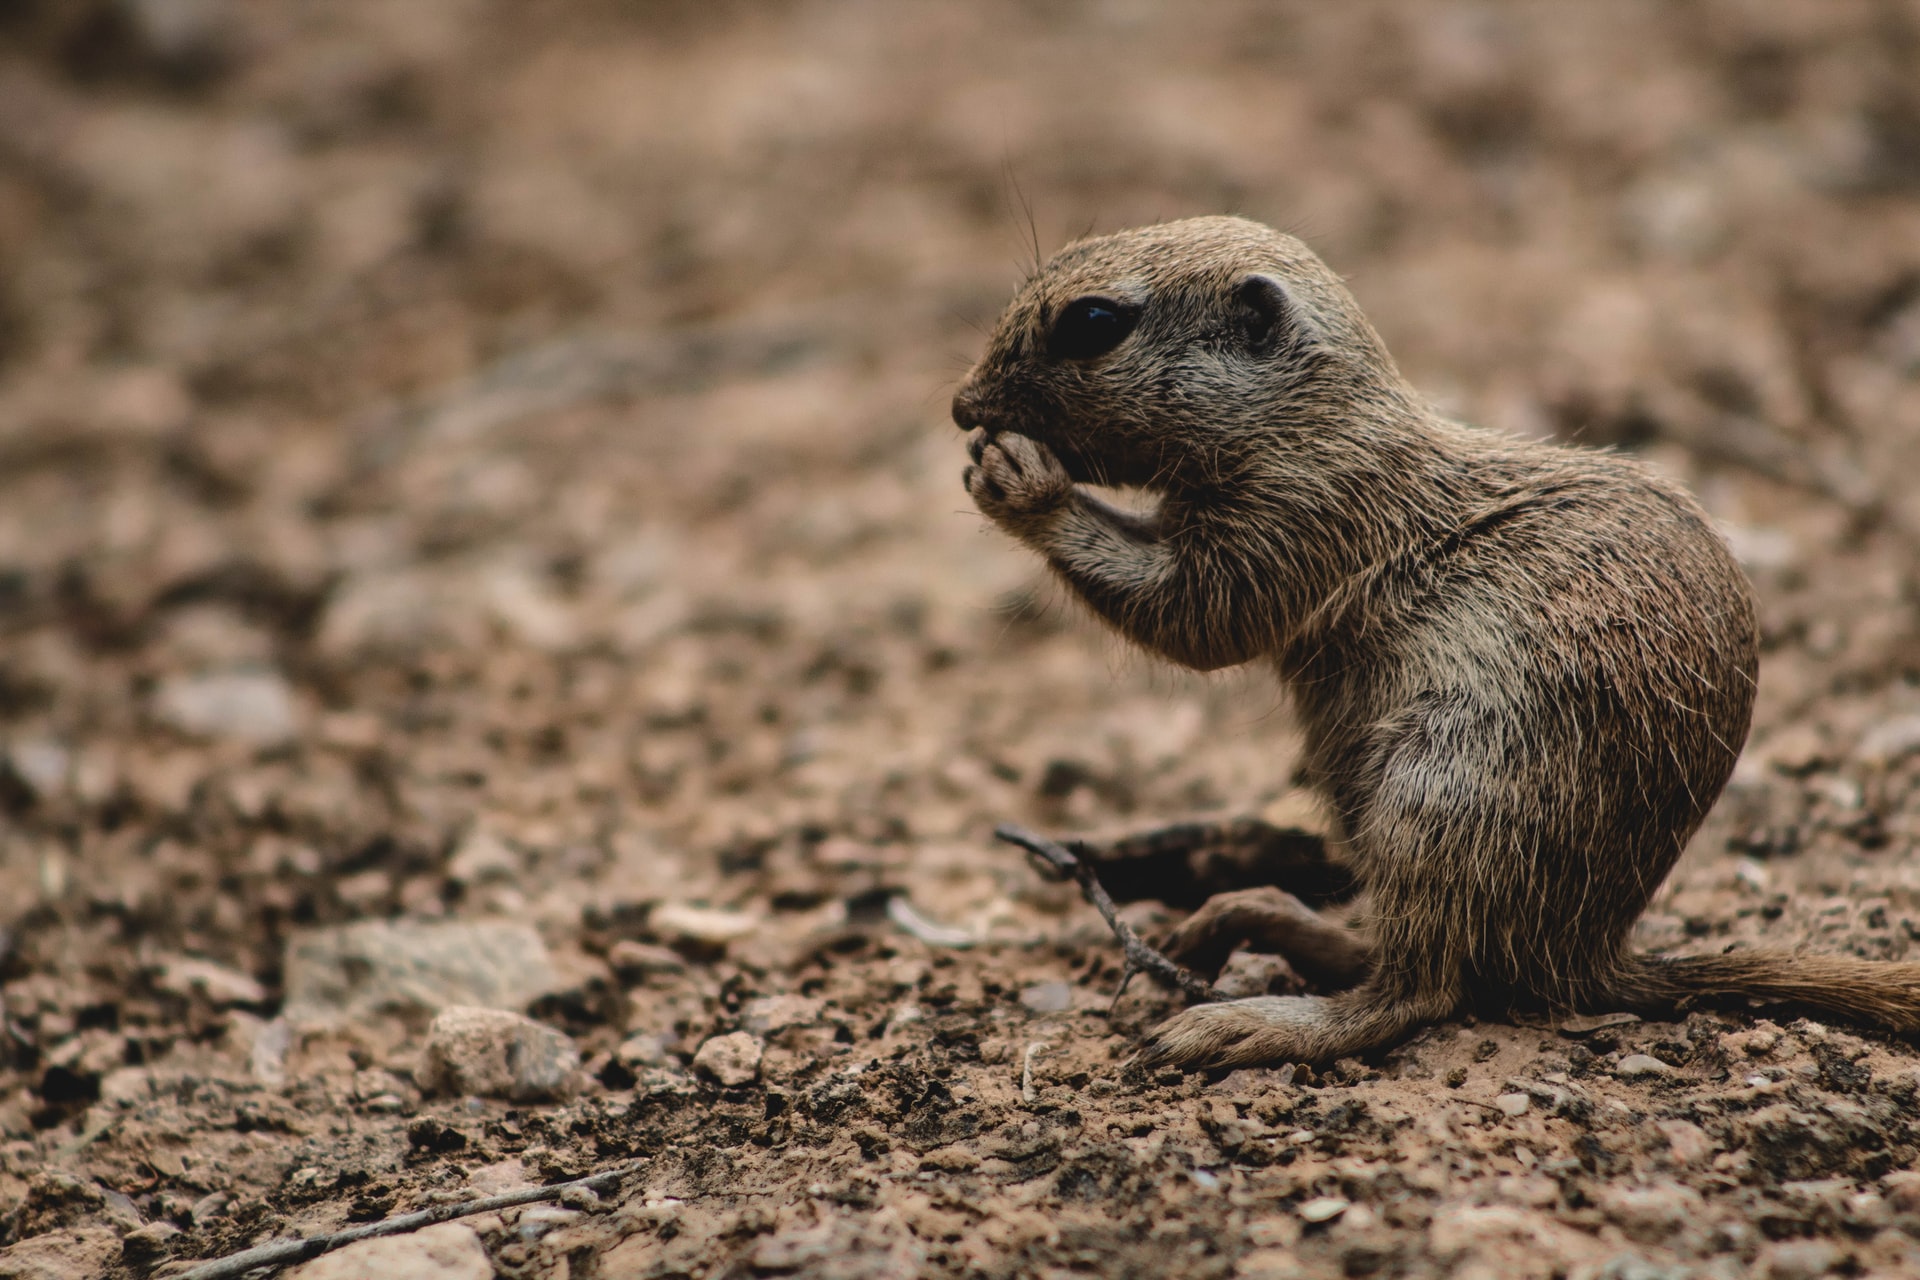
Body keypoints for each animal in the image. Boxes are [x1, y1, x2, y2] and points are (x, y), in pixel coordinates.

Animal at [960, 214, 1920, 1066]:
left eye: (1092, 322)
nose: (962, 406)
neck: (1314, 420)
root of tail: (1586, 953)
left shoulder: (1298, 517)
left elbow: (1196, 619)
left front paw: (1018, 480)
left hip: (1438, 795)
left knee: (1415, 993)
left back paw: (1247, 1021)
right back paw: (1238, 919)